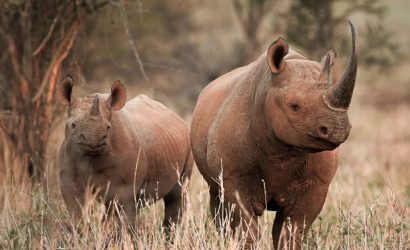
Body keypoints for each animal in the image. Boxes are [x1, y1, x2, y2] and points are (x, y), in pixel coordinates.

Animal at [58, 77, 193, 229]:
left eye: (108, 127)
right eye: (73, 125)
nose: (94, 141)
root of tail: (178, 118)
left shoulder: (125, 186)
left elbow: (118, 214)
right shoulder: (68, 175)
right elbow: (76, 210)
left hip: (188, 141)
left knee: (177, 193)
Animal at [191, 22, 358, 248]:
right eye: (294, 107)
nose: (338, 129)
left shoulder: (317, 183)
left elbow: (292, 230)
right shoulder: (232, 176)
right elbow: (246, 227)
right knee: (218, 203)